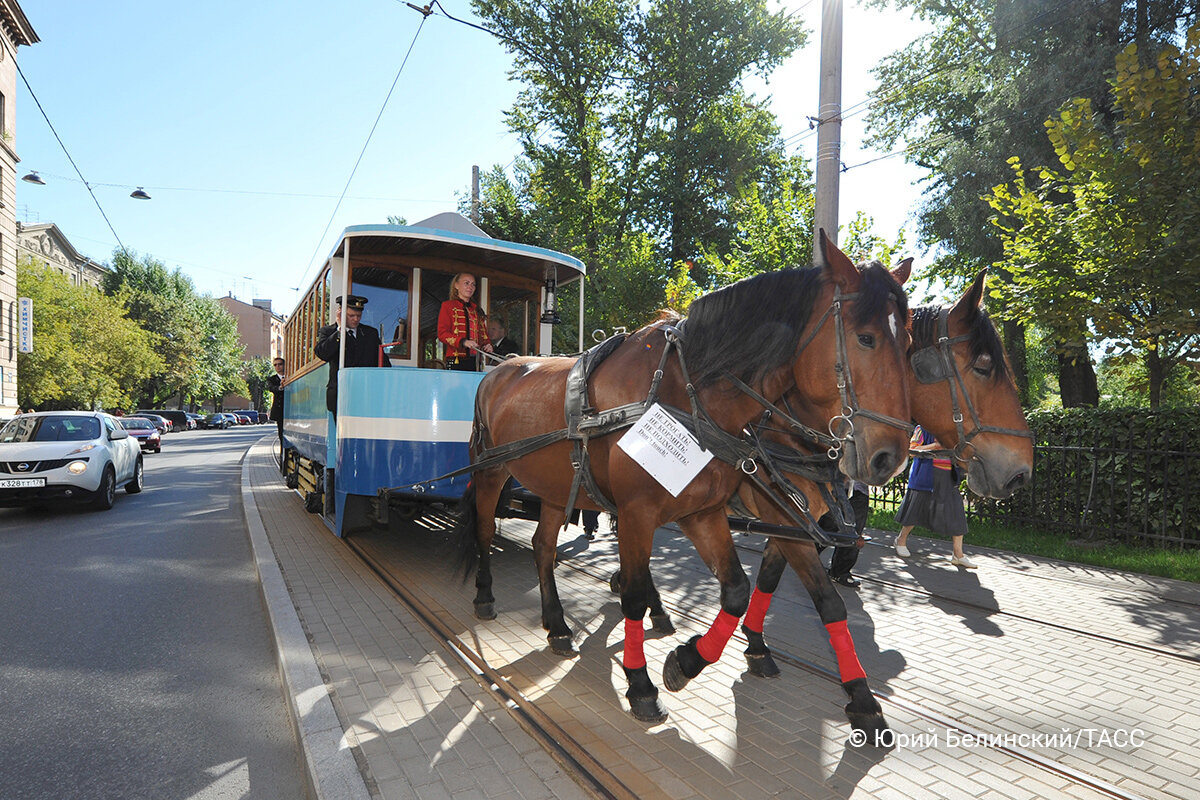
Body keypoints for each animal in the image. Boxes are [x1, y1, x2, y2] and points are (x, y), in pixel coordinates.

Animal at [453, 235, 912, 724]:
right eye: (866, 338)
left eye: (908, 343)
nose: (891, 457)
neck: (686, 394)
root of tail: (501, 367)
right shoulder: (640, 512)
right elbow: (635, 595)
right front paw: (640, 682)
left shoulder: (706, 512)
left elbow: (745, 591)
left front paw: (689, 659)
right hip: (491, 471)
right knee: (485, 529)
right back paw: (485, 596)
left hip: (559, 486)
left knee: (543, 547)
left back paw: (557, 623)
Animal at [729, 271, 1032, 738]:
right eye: (983, 366)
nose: (1021, 472)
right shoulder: (782, 515)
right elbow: (824, 600)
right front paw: (861, 697)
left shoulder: (793, 519)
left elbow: (768, 579)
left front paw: (756, 644)